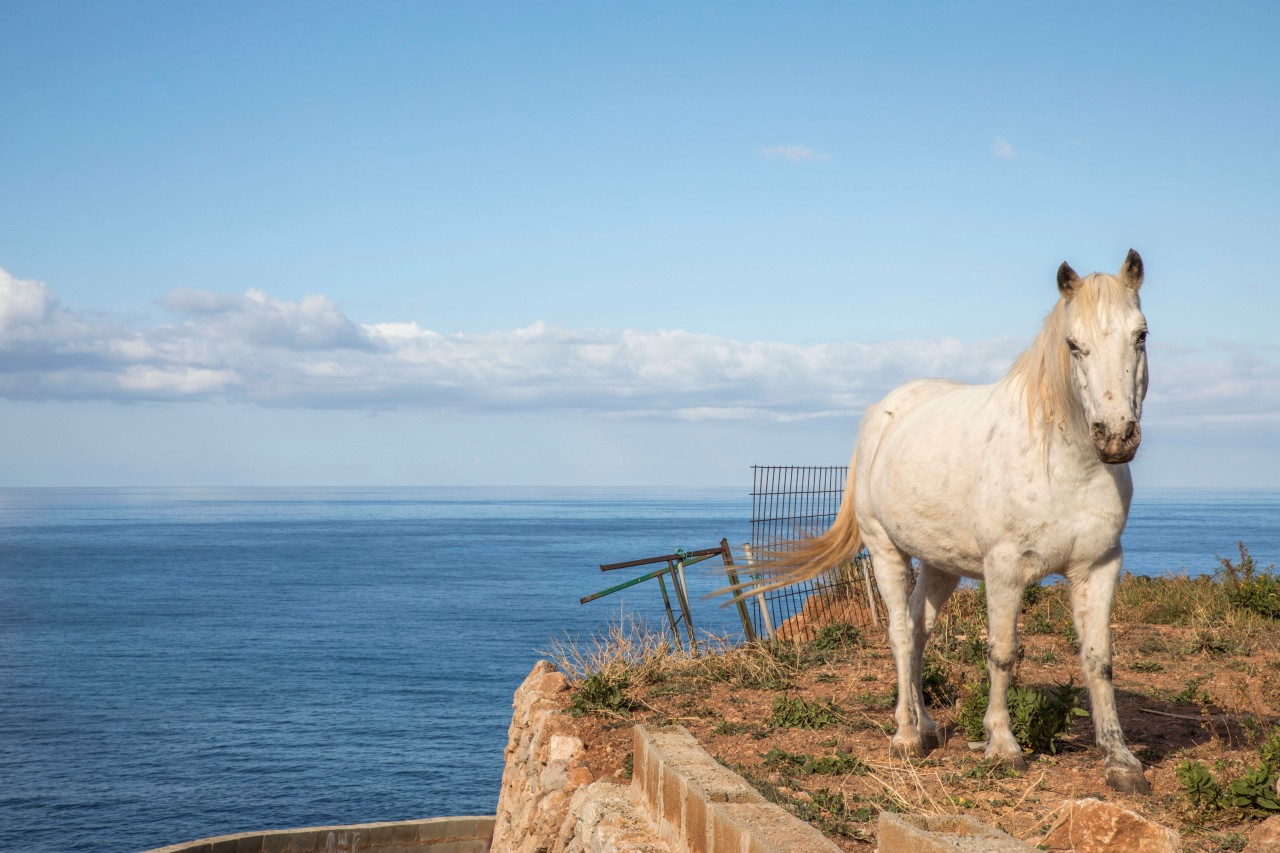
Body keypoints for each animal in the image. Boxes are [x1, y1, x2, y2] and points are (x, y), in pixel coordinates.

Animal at [757, 251, 1152, 788]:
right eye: (1074, 344)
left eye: (1141, 335)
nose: (1115, 436)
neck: (1064, 462)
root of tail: (882, 412)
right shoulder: (1004, 569)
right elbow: (1003, 652)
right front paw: (1002, 746)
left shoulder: (1099, 566)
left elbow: (1099, 660)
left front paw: (1120, 758)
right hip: (886, 551)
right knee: (901, 633)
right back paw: (905, 736)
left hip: (939, 564)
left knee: (919, 628)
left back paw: (923, 723)